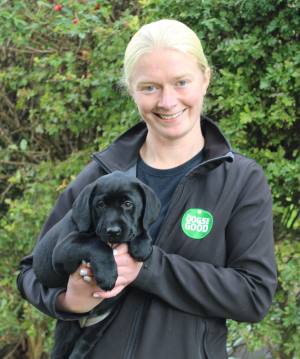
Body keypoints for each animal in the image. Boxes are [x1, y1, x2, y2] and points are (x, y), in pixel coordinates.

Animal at [31, 172, 161, 359]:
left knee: (83, 345)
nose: (113, 231)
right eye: (100, 205)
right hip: (66, 330)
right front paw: (108, 275)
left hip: (100, 323)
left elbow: (140, 228)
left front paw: (142, 245)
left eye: (128, 204)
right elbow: (96, 244)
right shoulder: (63, 249)